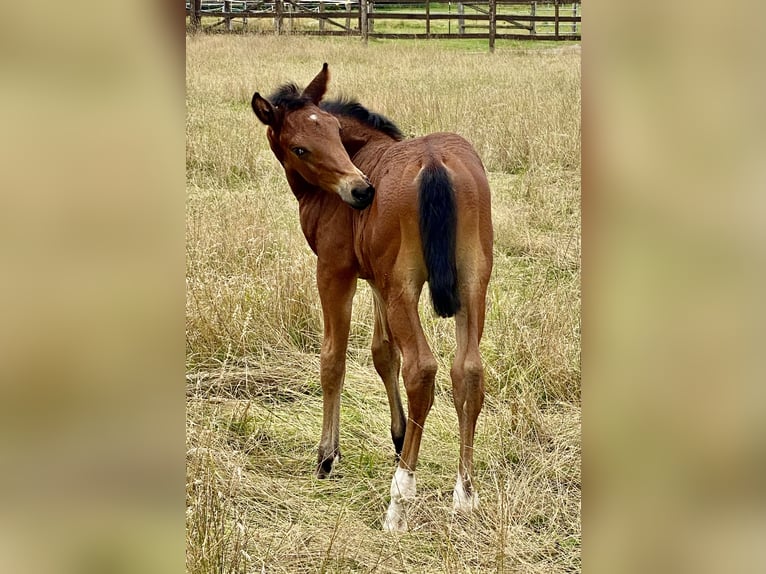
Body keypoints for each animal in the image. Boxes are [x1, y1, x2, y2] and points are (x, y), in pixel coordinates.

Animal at [249, 65, 496, 532]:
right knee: (467, 369)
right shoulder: (377, 280)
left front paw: (327, 456)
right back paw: (465, 494)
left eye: (334, 130)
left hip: (405, 287)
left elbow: (334, 358)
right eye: (301, 146)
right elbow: (383, 353)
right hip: (473, 282)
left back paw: (400, 500)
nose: (362, 192)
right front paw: (399, 437)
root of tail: (434, 162)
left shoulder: (335, 272)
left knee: (422, 369)